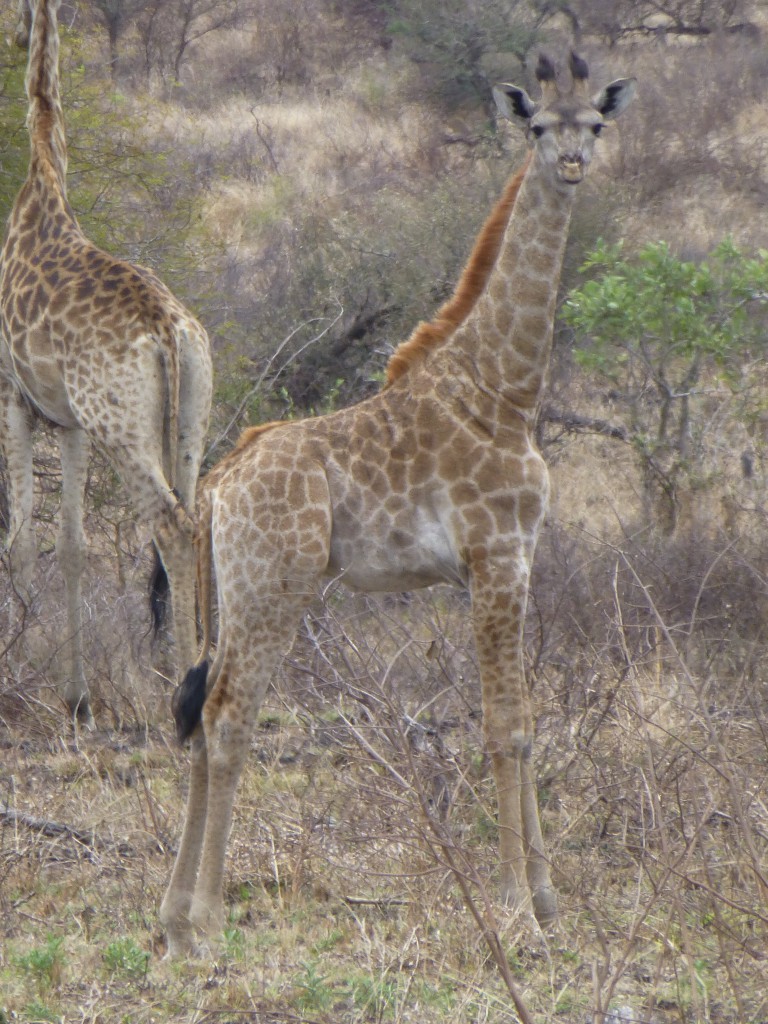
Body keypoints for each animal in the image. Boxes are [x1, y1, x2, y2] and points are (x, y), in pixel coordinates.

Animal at [0, 0, 214, 720]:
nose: (14, 37)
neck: (42, 173)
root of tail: (168, 329)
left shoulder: (14, 397)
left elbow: (18, 541)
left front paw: (18, 676)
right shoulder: (69, 422)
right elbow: (71, 545)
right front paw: (76, 699)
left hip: (121, 425)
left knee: (171, 527)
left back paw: (184, 697)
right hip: (188, 416)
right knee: (198, 518)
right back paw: (200, 671)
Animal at [160, 54, 638, 950]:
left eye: (595, 123)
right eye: (536, 125)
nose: (570, 166)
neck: (504, 388)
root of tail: (216, 483)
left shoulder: (519, 561)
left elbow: (527, 725)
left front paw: (547, 900)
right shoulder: (492, 559)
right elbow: (505, 729)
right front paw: (516, 909)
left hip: (235, 592)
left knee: (201, 712)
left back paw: (172, 918)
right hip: (274, 588)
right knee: (231, 714)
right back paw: (206, 915)